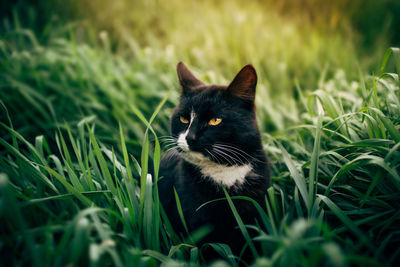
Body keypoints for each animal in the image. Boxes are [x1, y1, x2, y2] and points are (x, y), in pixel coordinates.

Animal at [158, 61, 270, 264]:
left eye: (215, 120)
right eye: (184, 118)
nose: (190, 137)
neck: (224, 169)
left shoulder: (256, 209)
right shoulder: (199, 221)